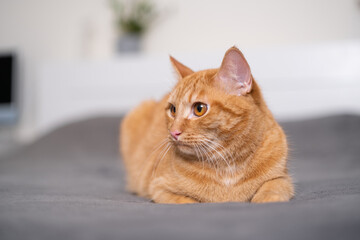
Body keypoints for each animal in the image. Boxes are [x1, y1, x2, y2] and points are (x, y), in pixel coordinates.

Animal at [119, 46, 294, 202]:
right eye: (173, 110)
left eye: (199, 109)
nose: (174, 132)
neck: (228, 166)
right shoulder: (160, 188)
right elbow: (186, 202)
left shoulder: (282, 179)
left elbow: (271, 189)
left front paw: (264, 199)